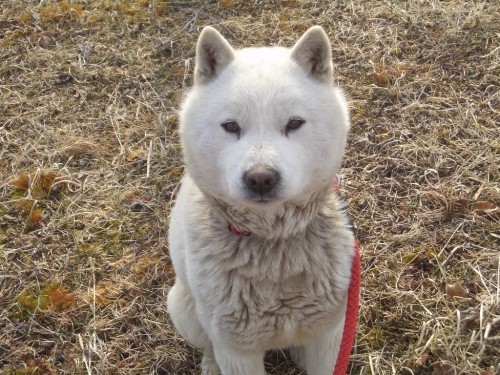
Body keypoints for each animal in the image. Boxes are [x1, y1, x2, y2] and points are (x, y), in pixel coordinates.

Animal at [168, 25, 360, 374]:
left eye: (294, 123)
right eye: (231, 126)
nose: (260, 178)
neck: (274, 245)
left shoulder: (330, 337)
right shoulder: (237, 351)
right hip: (183, 310)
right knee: (208, 344)